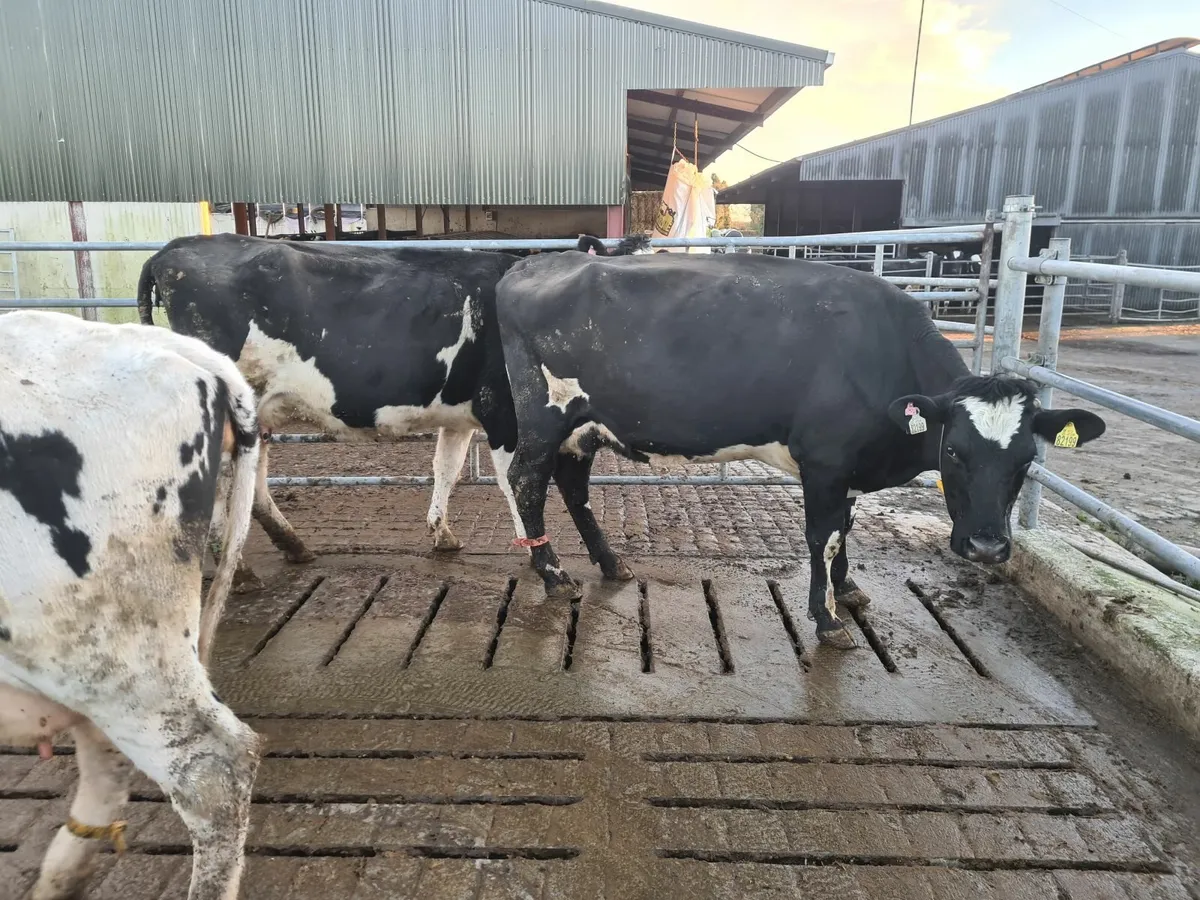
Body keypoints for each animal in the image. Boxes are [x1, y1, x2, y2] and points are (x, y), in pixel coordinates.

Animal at [137, 233, 530, 588]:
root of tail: (175, 248)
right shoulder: (505, 414)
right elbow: (514, 481)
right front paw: (531, 549)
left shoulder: (461, 416)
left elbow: (447, 468)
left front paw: (442, 534)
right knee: (218, 489)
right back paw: (242, 573)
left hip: (256, 414)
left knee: (254, 485)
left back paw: (292, 546)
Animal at [492, 252, 1107, 648]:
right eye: (953, 450)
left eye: (1026, 459)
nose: (986, 547)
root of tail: (530, 264)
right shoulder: (826, 461)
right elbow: (823, 536)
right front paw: (826, 619)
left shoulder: (850, 467)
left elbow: (847, 530)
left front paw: (849, 590)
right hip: (545, 417)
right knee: (526, 481)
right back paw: (553, 573)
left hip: (584, 427)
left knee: (573, 487)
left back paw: (611, 563)